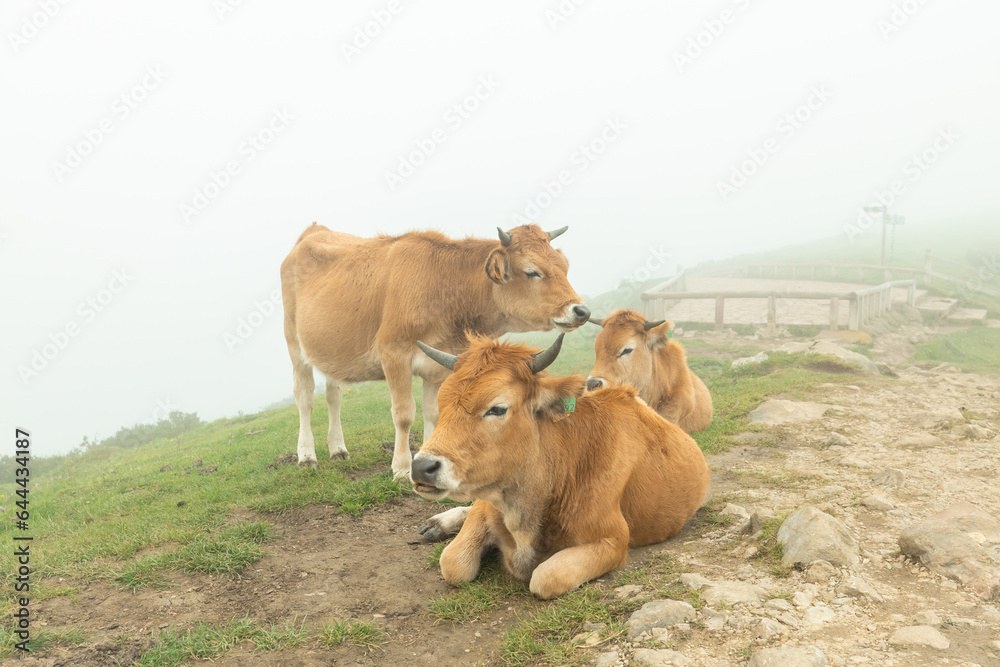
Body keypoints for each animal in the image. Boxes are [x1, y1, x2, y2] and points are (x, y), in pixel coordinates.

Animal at [280, 223, 590, 476]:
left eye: (564, 266)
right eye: (532, 271)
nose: (582, 310)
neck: (442, 285)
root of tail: (314, 231)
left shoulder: (440, 362)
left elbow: (433, 412)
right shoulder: (393, 353)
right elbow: (404, 413)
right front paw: (401, 468)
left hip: (332, 353)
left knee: (333, 395)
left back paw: (337, 449)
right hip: (295, 345)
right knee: (304, 397)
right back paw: (306, 455)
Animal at [410, 334, 710, 599]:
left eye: (497, 408)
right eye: (440, 404)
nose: (421, 466)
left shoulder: (613, 540)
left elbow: (545, 578)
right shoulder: (489, 503)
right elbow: (454, 564)